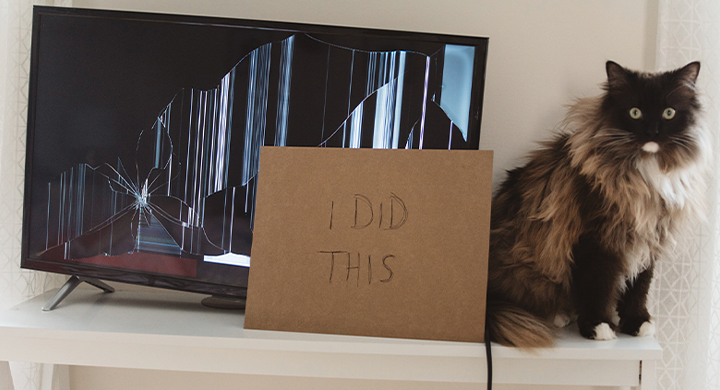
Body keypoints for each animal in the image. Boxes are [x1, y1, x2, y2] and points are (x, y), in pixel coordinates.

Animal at [484, 61, 708, 348]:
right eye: (635, 112)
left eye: (669, 113)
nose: (652, 132)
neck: (644, 177)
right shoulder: (595, 239)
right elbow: (597, 288)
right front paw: (598, 326)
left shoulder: (650, 237)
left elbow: (639, 287)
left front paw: (637, 323)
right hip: (527, 266)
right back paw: (560, 315)